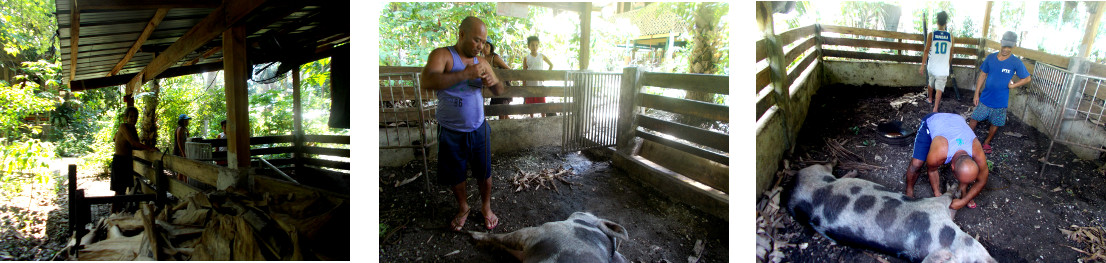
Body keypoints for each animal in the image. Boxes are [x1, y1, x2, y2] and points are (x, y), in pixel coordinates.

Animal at [787, 163, 995, 261]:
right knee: (827, 166)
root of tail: (790, 190)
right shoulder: (934, 206)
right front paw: (953, 187)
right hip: (814, 170)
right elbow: (947, 197)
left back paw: (852, 172)